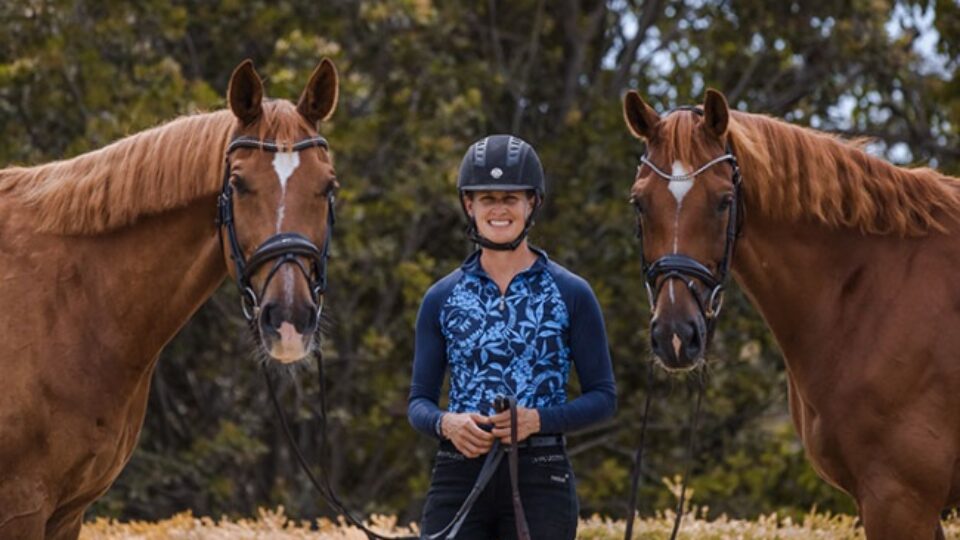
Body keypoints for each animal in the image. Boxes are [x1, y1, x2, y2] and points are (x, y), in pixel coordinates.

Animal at [0, 58, 339, 539]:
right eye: (239, 185)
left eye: (328, 187)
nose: (289, 320)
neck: (67, 304)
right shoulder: (21, 506)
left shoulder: (66, 515)